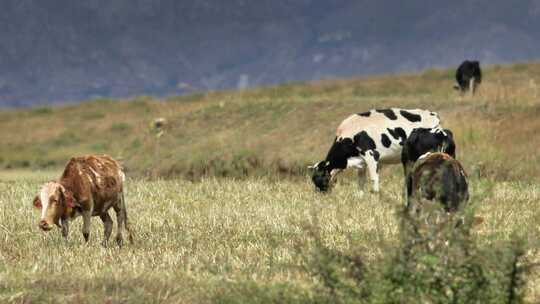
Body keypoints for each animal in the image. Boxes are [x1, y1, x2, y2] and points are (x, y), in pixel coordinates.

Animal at [308, 107, 442, 192]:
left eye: (321, 177)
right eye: (313, 178)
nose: (319, 193)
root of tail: (433, 115)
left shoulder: (371, 155)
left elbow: (374, 178)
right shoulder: (361, 162)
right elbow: (360, 182)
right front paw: (360, 197)